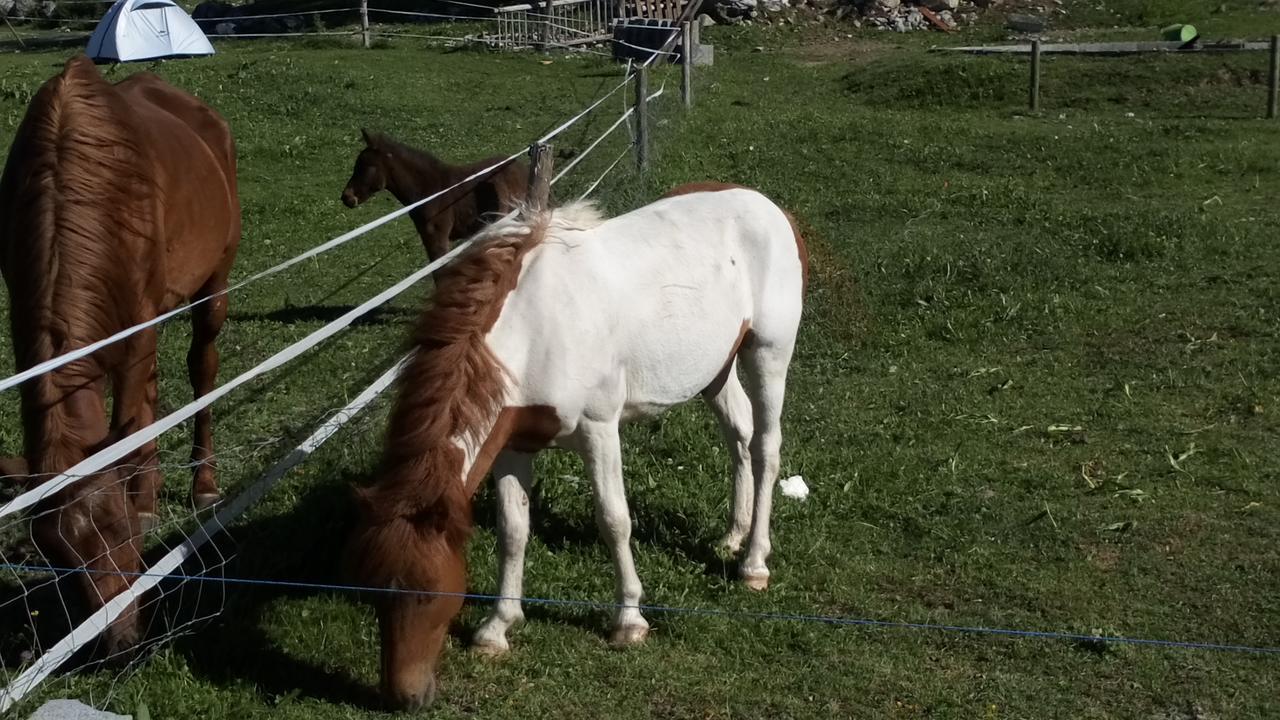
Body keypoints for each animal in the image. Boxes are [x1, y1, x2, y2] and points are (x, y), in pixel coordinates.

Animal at [0, 54, 241, 650]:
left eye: (121, 531)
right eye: (55, 554)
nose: (120, 641)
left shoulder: (136, 331)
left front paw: (149, 500)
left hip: (213, 288)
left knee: (201, 371)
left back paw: (201, 483)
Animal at [348, 179, 808, 707]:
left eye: (428, 591)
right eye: (372, 588)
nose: (403, 696)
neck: (537, 327)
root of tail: (769, 207)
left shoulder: (598, 429)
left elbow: (614, 520)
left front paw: (629, 621)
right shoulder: (512, 443)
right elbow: (513, 530)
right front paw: (497, 628)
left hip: (768, 353)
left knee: (766, 448)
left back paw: (754, 563)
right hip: (716, 369)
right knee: (739, 436)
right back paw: (733, 535)